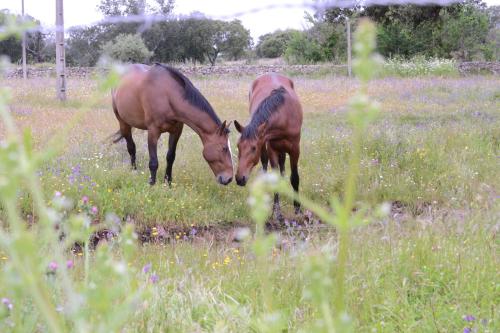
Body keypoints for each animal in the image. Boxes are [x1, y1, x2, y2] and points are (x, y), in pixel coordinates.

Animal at [233, 72, 302, 218]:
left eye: (253, 148)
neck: (285, 116)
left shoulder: (295, 149)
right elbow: (274, 179)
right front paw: (276, 212)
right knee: (266, 164)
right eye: (238, 146)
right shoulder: (271, 148)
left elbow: (294, 177)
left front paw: (298, 209)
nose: (239, 178)